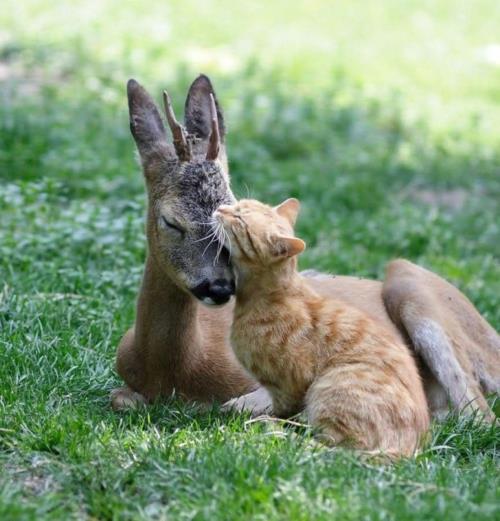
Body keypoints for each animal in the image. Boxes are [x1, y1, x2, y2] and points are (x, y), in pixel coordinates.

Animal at [111, 75, 498, 420]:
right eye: (171, 222)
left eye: (231, 210)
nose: (219, 287)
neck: (177, 369)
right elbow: (120, 398)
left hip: (412, 285)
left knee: (477, 413)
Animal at [214, 199, 430, 456]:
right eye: (237, 204)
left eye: (239, 219)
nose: (219, 209)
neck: (272, 296)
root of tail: (407, 451)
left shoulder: (290, 385)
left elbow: (282, 408)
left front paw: (265, 418)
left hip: (331, 385)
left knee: (330, 447)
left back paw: (272, 431)